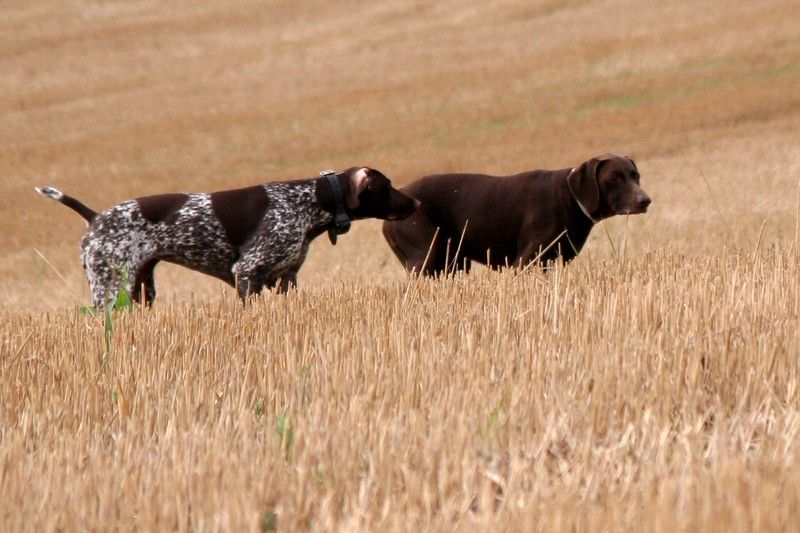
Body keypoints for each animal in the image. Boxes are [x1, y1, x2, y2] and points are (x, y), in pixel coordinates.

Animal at [36, 166, 418, 308]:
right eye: (387, 186)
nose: (415, 202)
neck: (310, 200)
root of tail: (95, 217)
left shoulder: (286, 278)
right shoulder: (248, 273)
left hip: (141, 289)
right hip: (110, 286)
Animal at [382, 153, 648, 274]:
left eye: (635, 176)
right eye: (614, 178)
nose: (645, 200)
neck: (571, 197)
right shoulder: (527, 261)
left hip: (453, 263)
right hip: (426, 259)